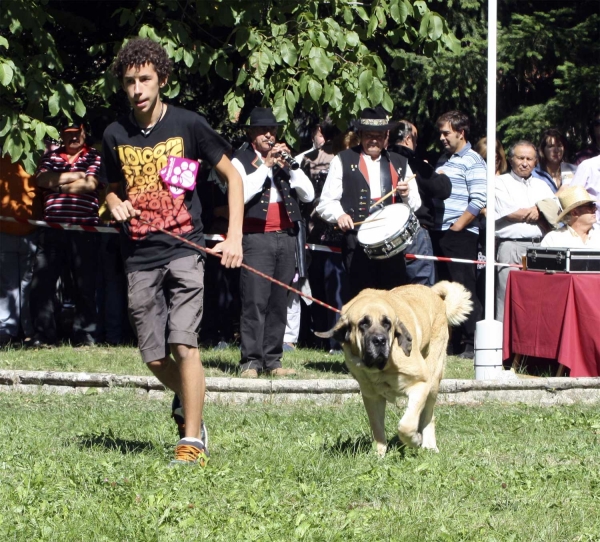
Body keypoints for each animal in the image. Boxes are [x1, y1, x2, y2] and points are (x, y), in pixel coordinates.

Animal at [316, 282, 472, 456]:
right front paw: (379, 454)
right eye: (364, 323)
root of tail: (435, 295)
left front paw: (414, 440)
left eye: (387, 323)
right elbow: (377, 427)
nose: (380, 340)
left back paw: (429, 444)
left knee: (428, 414)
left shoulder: (421, 384)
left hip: (433, 379)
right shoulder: (371, 396)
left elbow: (406, 425)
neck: (381, 369)